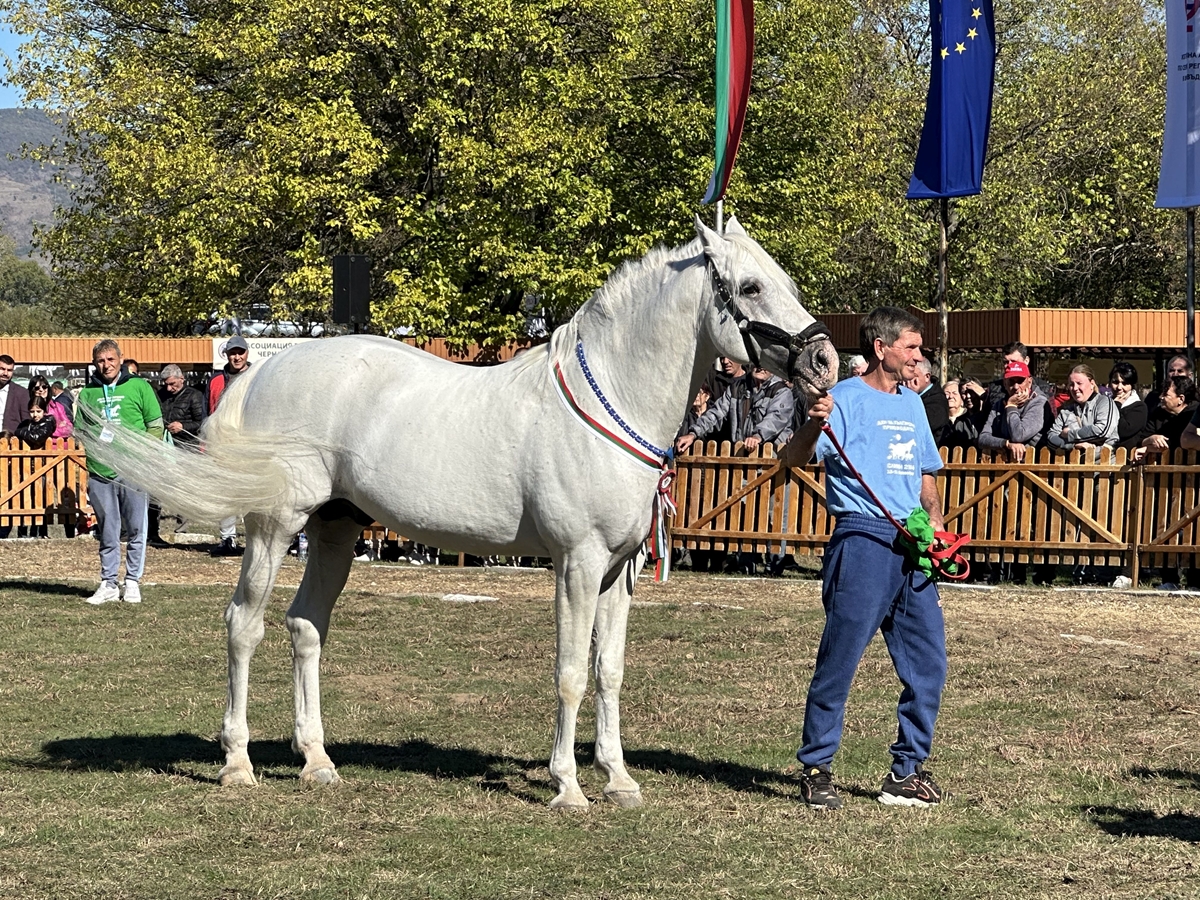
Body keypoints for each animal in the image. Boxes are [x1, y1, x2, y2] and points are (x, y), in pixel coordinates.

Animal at [82, 217, 835, 811]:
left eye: (784, 280)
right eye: (749, 288)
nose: (825, 360)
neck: (607, 401)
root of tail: (266, 369)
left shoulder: (617, 571)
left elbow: (610, 671)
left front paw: (619, 780)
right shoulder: (577, 564)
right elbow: (570, 671)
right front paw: (568, 787)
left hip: (335, 530)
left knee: (305, 628)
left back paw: (318, 761)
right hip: (274, 526)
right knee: (244, 625)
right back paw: (237, 763)